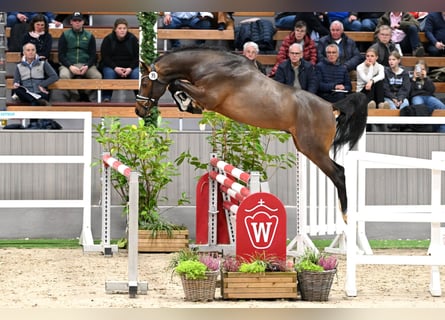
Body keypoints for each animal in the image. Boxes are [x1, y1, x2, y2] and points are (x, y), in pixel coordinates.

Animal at [136, 47, 368, 222]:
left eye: (145, 83)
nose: (138, 111)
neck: (210, 66)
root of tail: (330, 106)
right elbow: (176, 85)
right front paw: (188, 104)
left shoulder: (208, 96)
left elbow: (176, 83)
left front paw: (187, 103)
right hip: (305, 147)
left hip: (314, 149)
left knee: (339, 173)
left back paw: (346, 215)